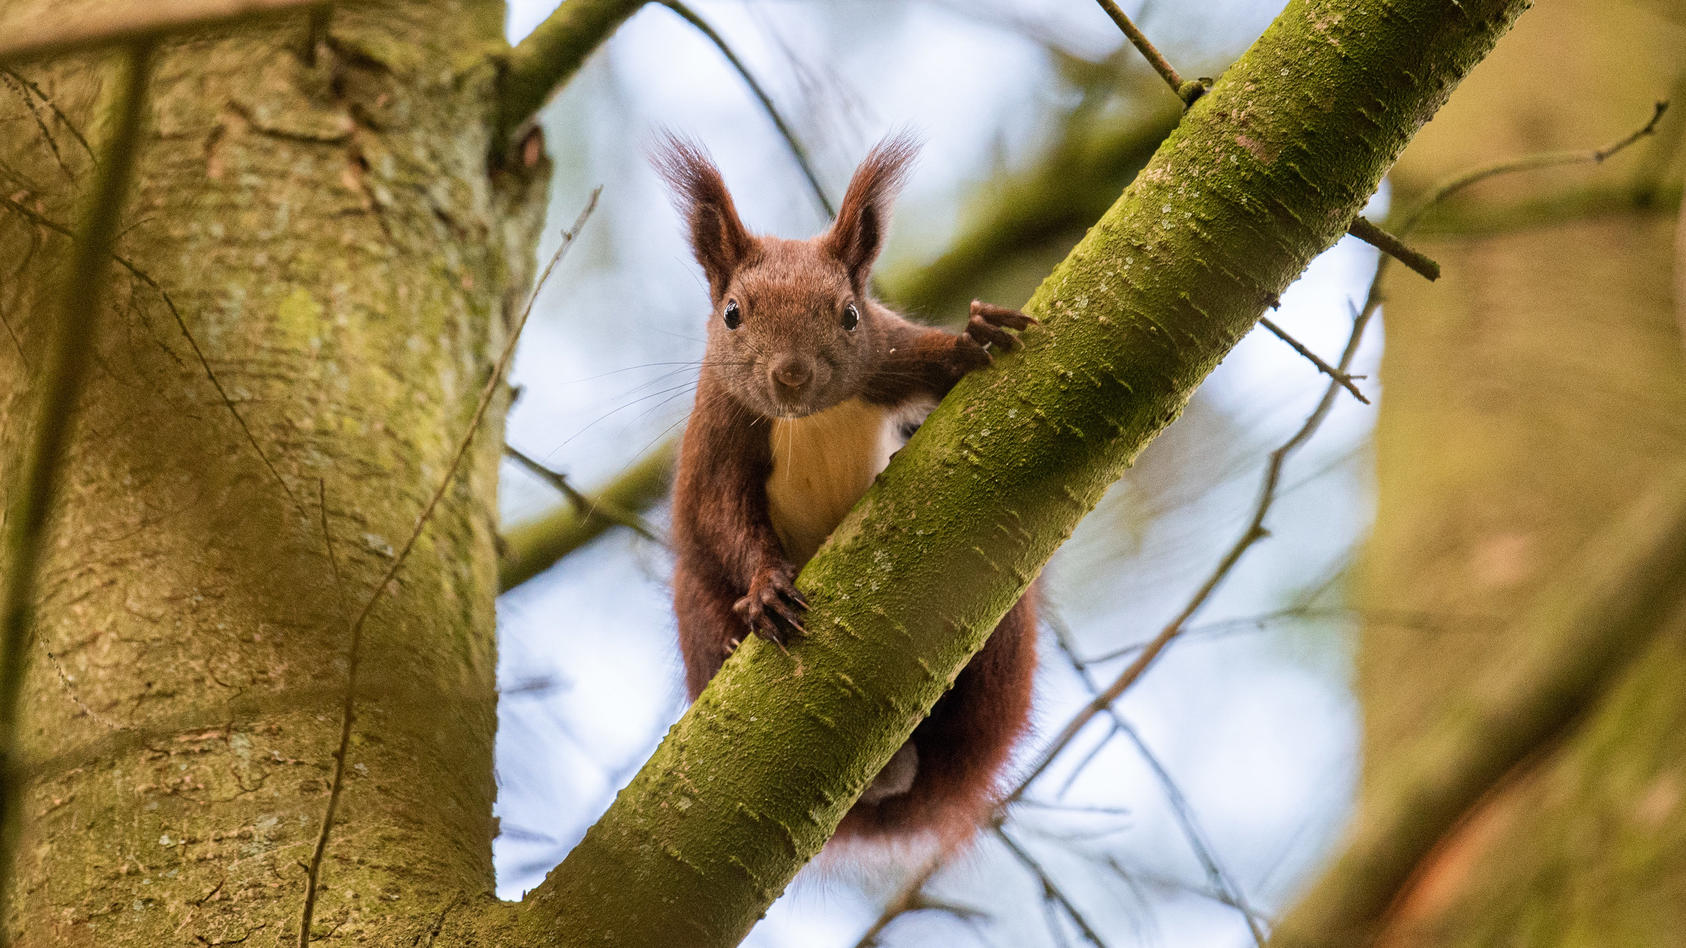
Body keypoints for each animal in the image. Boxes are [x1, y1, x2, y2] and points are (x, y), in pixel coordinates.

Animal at [657, 130, 1038, 833]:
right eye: (731, 314)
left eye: (852, 315)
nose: (791, 374)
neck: (808, 419)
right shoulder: (720, 437)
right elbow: (721, 515)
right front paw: (765, 590)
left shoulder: (892, 355)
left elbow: (941, 362)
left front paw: (976, 334)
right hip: (692, 601)